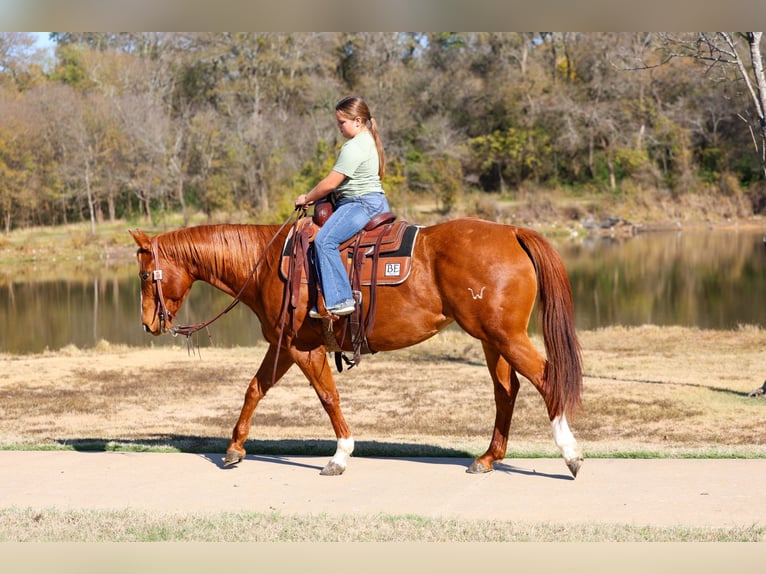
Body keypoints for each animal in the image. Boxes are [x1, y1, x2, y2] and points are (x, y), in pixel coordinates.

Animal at [129, 216, 583, 477]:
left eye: (144, 275)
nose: (147, 323)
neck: (266, 263)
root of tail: (513, 231)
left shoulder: (302, 349)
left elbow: (327, 396)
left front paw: (340, 455)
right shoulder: (285, 345)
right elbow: (255, 389)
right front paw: (234, 448)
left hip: (505, 336)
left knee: (547, 379)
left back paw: (570, 455)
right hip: (493, 339)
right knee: (507, 391)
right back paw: (488, 458)